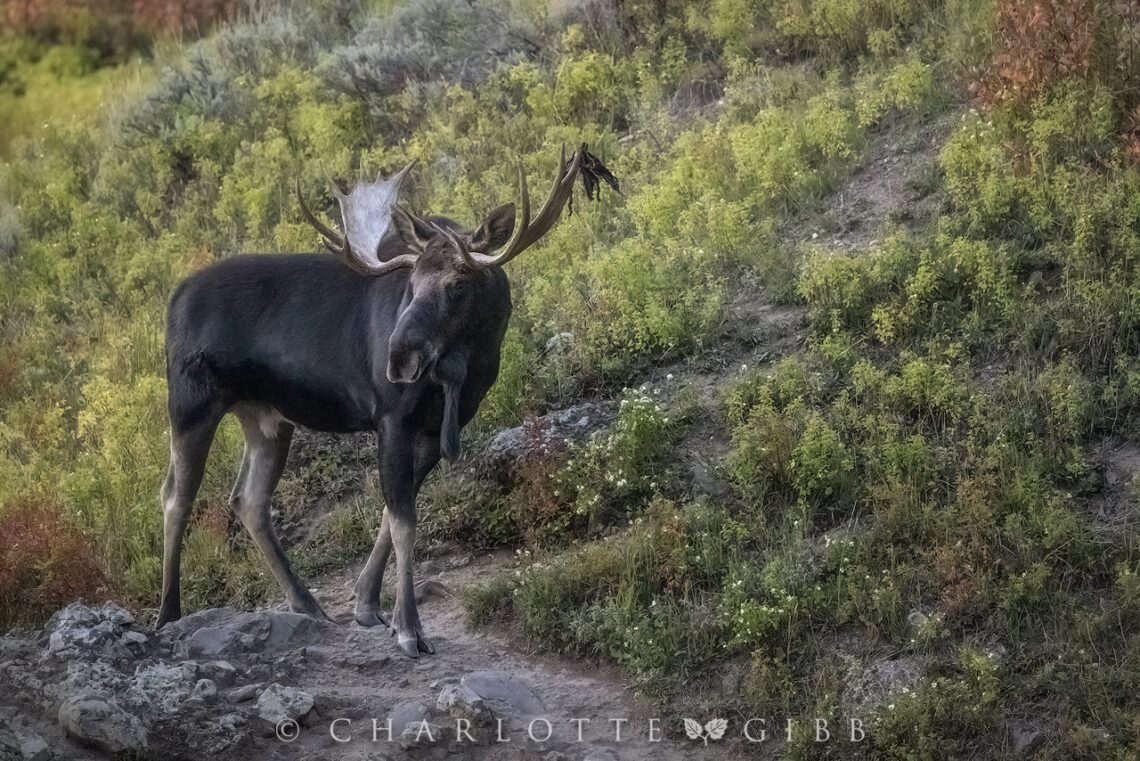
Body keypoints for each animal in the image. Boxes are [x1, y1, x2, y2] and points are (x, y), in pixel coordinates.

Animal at [157, 145, 620, 656]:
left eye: (458, 283)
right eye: (410, 285)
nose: (398, 359)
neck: (467, 363)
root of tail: (172, 301)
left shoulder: (439, 426)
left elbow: (393, 511)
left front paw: (367, 604)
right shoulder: (391, 416)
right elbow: (403, 521)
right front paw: (408, 628)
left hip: (266, 416)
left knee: (247, 499)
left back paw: (307, 605)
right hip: (191, 402)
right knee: (176, 496)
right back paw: (168, 614)